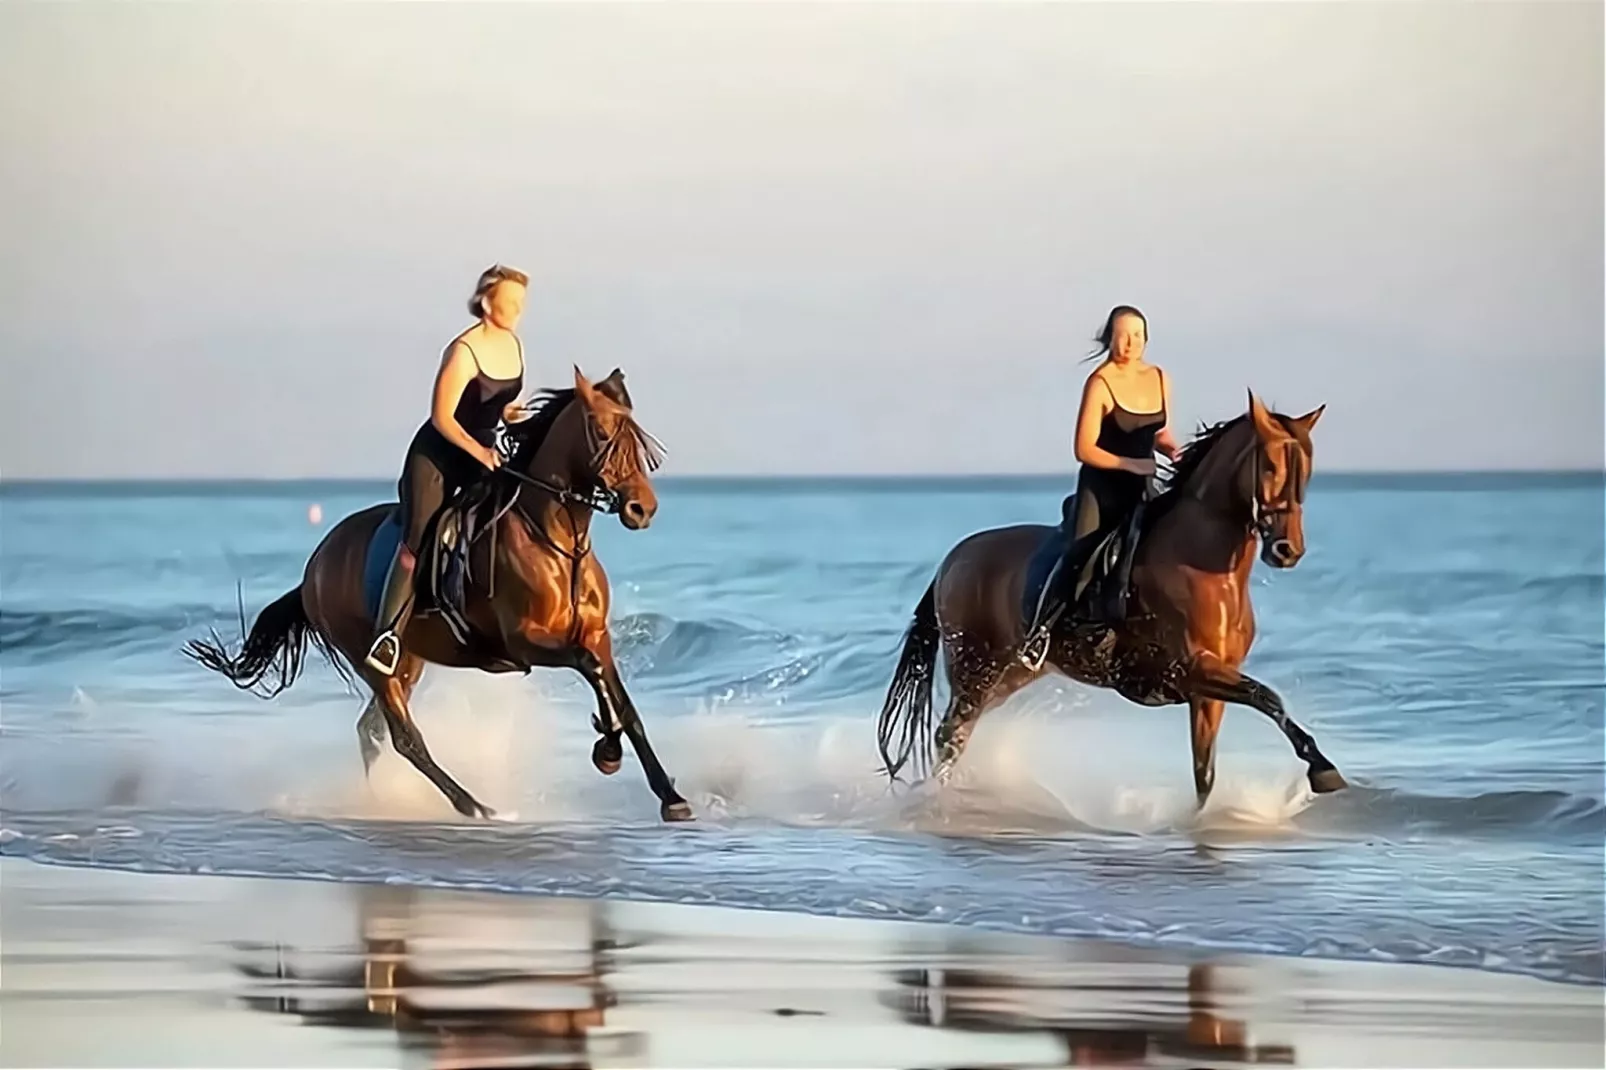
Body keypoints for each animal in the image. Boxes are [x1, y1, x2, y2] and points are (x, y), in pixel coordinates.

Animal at [184, 363, 693, 819]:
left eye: (638, 438)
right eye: (602, 433)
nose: (642, 508)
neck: (557, 543)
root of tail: (314, 566)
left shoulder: (595, 635)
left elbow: (624, 703)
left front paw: (667, 793)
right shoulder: (525, 642)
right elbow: (591, 671)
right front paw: (608, 750)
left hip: (408, 660)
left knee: (371, 730)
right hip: (371, 659)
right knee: (404, 737)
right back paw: (474, 806)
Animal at [873, 393, 1349, 809]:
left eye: (1307, 471)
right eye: (1269, 466)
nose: (1287, 550)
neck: (1210, 569)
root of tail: (951, 560)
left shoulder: (1208, 689)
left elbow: (1206, 770)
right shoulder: (1192, 668)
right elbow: (1268, 698)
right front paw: (1323, 770)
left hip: (1008, 674)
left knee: (958, 734)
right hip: (974, 669)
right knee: (950, 734)